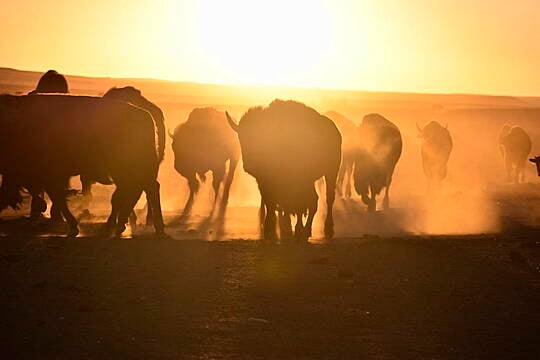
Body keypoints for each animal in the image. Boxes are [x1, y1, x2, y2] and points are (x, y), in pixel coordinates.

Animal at [0, 94, 163, 238]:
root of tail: (146, 115)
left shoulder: (49, 175)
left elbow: (58, 198)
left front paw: (73, 227)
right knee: (141, 190)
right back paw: (123, 226)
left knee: (140, 191)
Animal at [226, 100, 340, 240]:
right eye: (241, 138)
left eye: (261, 137)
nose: (249, 165)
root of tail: (335, 131)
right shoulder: (264, 181)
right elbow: (270, 201)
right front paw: (270, 229)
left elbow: (295, 203)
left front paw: (295, 228)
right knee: (313, 200)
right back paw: (305, 230)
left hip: (331, 172)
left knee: (327, 198)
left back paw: (324, 229)